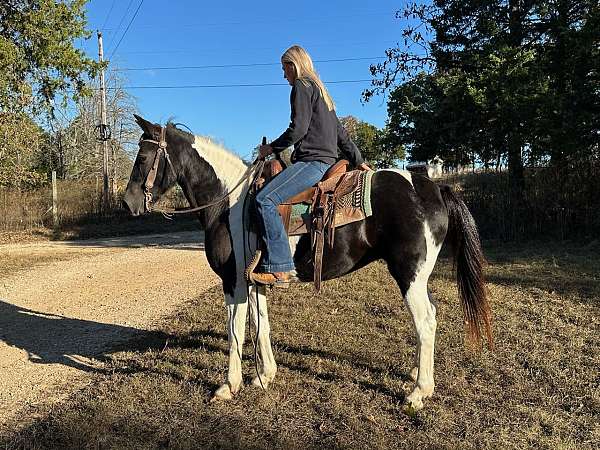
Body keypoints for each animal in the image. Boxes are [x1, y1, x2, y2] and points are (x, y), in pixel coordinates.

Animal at [123, 113, 492, 412]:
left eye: (142, 158)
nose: (127, 204)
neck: (229, 204)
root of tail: (435, 189)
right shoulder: (255, 282)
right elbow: (261, 324)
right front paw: (264, 376)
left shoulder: (234, 282)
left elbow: (235, 331)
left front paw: (229, 386)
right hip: (419, 276)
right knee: (429, 320)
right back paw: (416, 374)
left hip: (409, 274)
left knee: (425, 321)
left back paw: (418, 392)